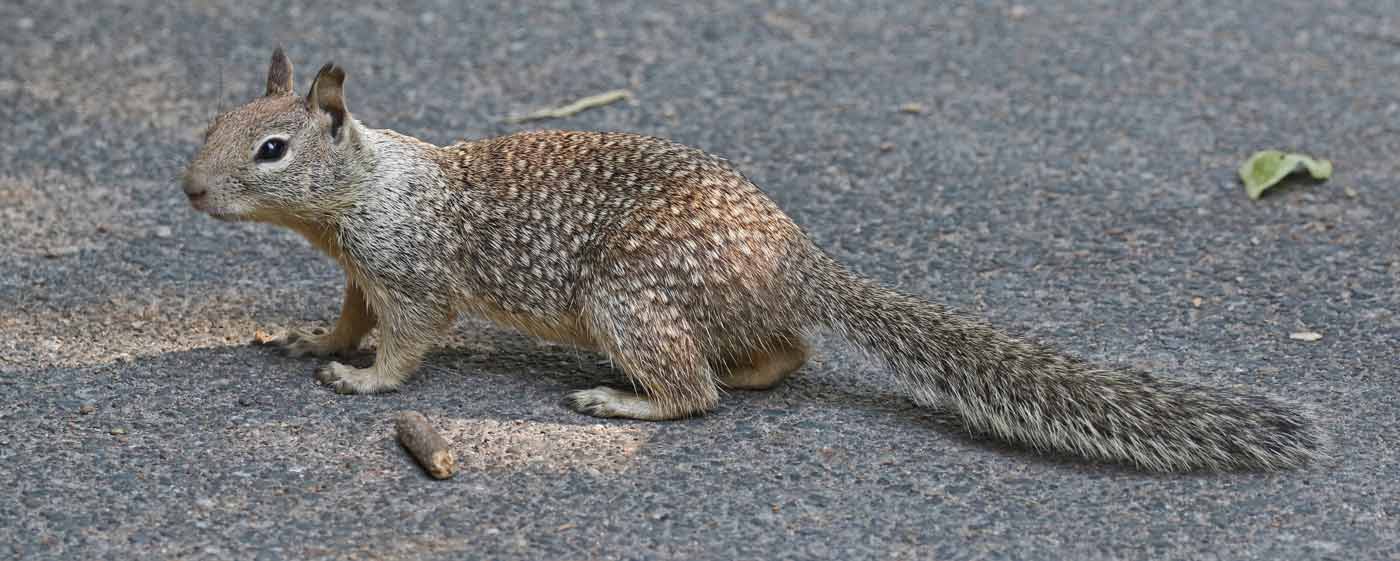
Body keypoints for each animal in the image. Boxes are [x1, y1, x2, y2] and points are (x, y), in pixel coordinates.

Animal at [181, 48, 1323, 472]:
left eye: (270, 149)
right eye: (213, 121)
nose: (189, 190)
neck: (365, 189)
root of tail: (796, 257)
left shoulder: (408, 274)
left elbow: (408, 343)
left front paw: (360, 382)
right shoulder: (354, 270)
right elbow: (343, 315)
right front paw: (307, 343)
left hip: (629, 300)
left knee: (697, 396)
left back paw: (621, 402)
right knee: (782, 357)